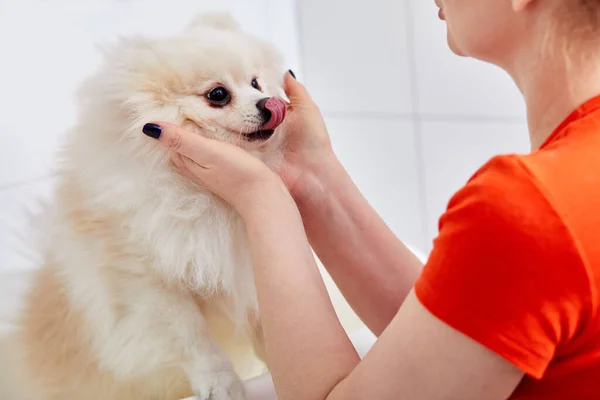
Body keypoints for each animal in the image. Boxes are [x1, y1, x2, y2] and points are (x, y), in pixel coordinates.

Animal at [0, 12, 290, 400]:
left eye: (256, 82)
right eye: (217, 94)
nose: (269, 103)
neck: (199, 192)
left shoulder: (241, 262)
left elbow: (263, 318)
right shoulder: (145, 279)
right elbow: (193, 338)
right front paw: (220, 383)